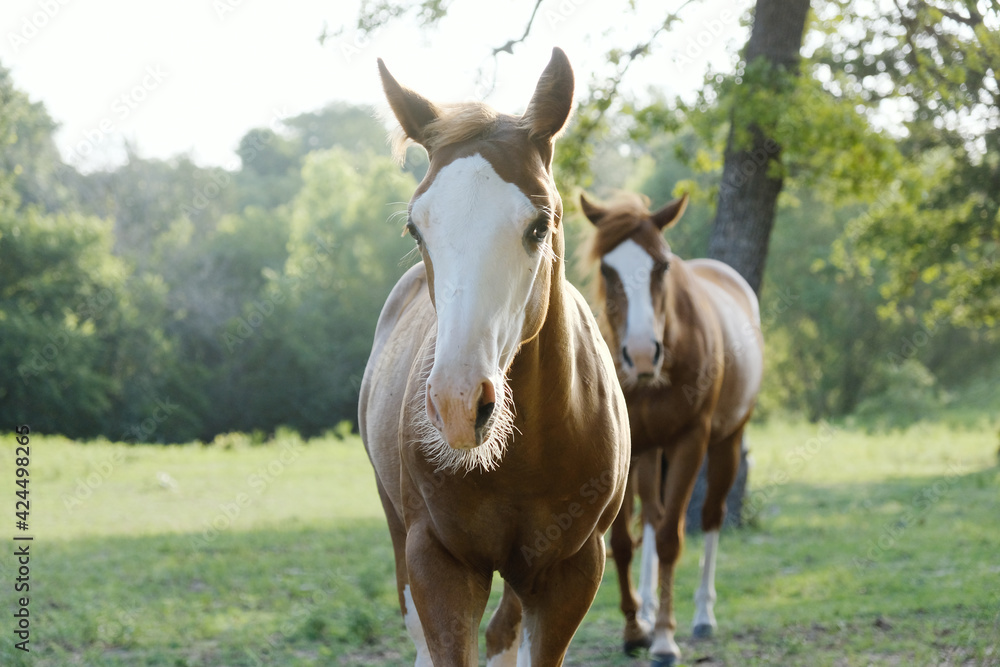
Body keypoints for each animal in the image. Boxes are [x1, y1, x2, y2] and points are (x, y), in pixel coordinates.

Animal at [580, 189, 764, 667]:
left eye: (662, 265)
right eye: (608, 268)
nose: (642, 354)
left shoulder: (689, 443)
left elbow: (668, 539)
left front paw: (664, 638)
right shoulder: (629, 450)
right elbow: (624, 541)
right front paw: (634, 629)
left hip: (726, 443)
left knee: (711, 516)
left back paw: (702, 614)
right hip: (649, 451)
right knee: (651, 515)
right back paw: (646, 607)